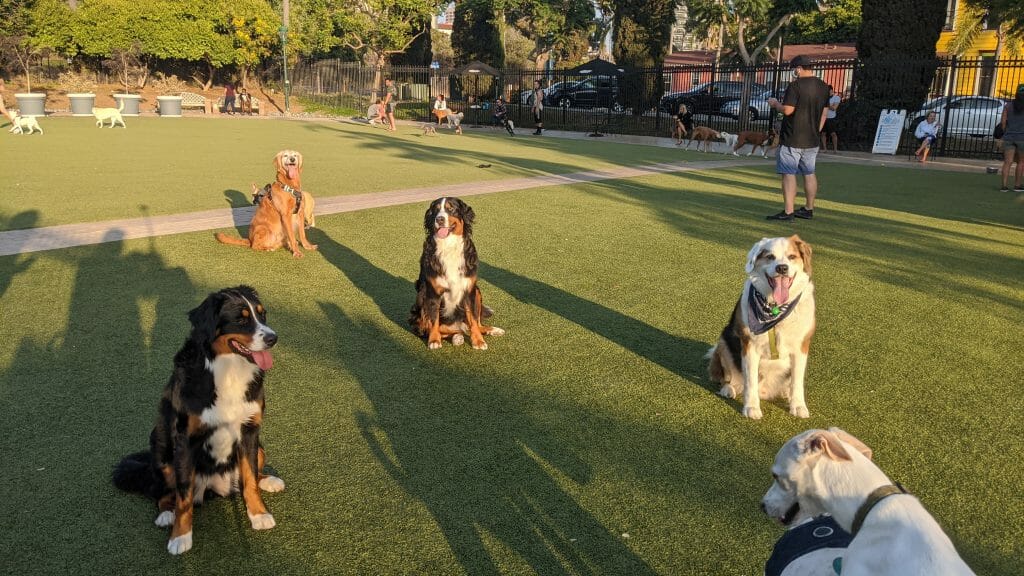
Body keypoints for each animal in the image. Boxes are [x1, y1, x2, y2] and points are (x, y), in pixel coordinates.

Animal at [112, 284, 286, 553]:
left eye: (262, 314)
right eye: (241, 319)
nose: (273, 339)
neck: (228, 370)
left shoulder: (249, 430)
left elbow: (249, 479)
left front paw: (258, 514)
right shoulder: (186, 439)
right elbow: (183, 497)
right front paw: (180, 537)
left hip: (260, 449)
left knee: (252, 475)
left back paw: (269, 480)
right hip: (162, 451)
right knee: (161, 491)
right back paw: (166, 514)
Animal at [407, 196, 503, 348]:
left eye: (450, 208)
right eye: (436, 210)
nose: (439, 219)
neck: (449, 245)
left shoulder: (468, 290)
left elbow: (473, 319)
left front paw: (478, 341)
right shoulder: (432, 292)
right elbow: (434, 320)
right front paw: (434, 340)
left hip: (477, 291)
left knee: (474, 324)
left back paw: (492, 330)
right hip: (420, 301)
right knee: (440, 329)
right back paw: (456, 336)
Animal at [704, 233, 815, 416]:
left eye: (792, 257)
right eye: (770, 257)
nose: (782, 268)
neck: (775, 309)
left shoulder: (801, 347)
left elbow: (797, 382)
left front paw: (798, 406)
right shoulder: (749, 345)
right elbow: (750, 381)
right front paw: (751, 408)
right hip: (724, 343)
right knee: (731, 380)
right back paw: (729, 389)